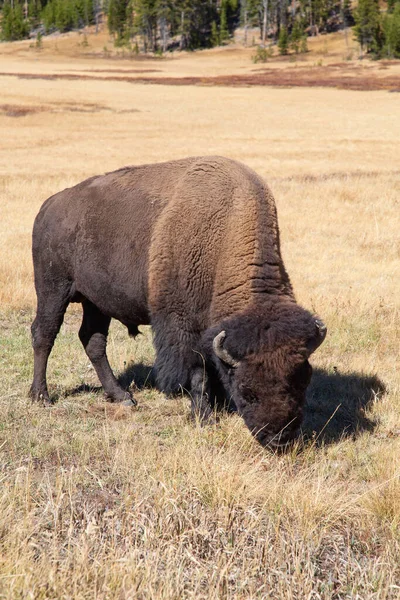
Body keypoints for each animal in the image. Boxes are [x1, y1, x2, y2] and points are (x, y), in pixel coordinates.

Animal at [30, 157, 324, 448]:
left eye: (303, 382)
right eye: (247, 390)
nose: (279, 439)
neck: (223, 233)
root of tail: (48, 207)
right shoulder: (184, 324)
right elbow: (198, 369)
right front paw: (203, 416)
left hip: (97, 302)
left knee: (92, 341)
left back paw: (122, 396)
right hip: (53, 290)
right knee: (44, 335)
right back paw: (41, 396)